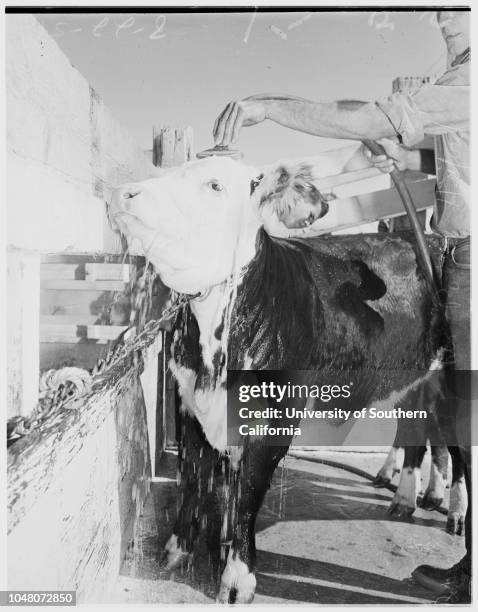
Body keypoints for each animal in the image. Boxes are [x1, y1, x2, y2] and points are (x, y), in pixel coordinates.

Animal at [109, 154, 466, 604]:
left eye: (214, 185)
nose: (125, 192)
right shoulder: (188, 403)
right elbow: (194, 478)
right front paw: (177, 550)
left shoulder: (272, 419)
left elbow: (246, 493)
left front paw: (236, 579)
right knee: (414, 431)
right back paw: (403, 496)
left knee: (457, 447)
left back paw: (454, 513)